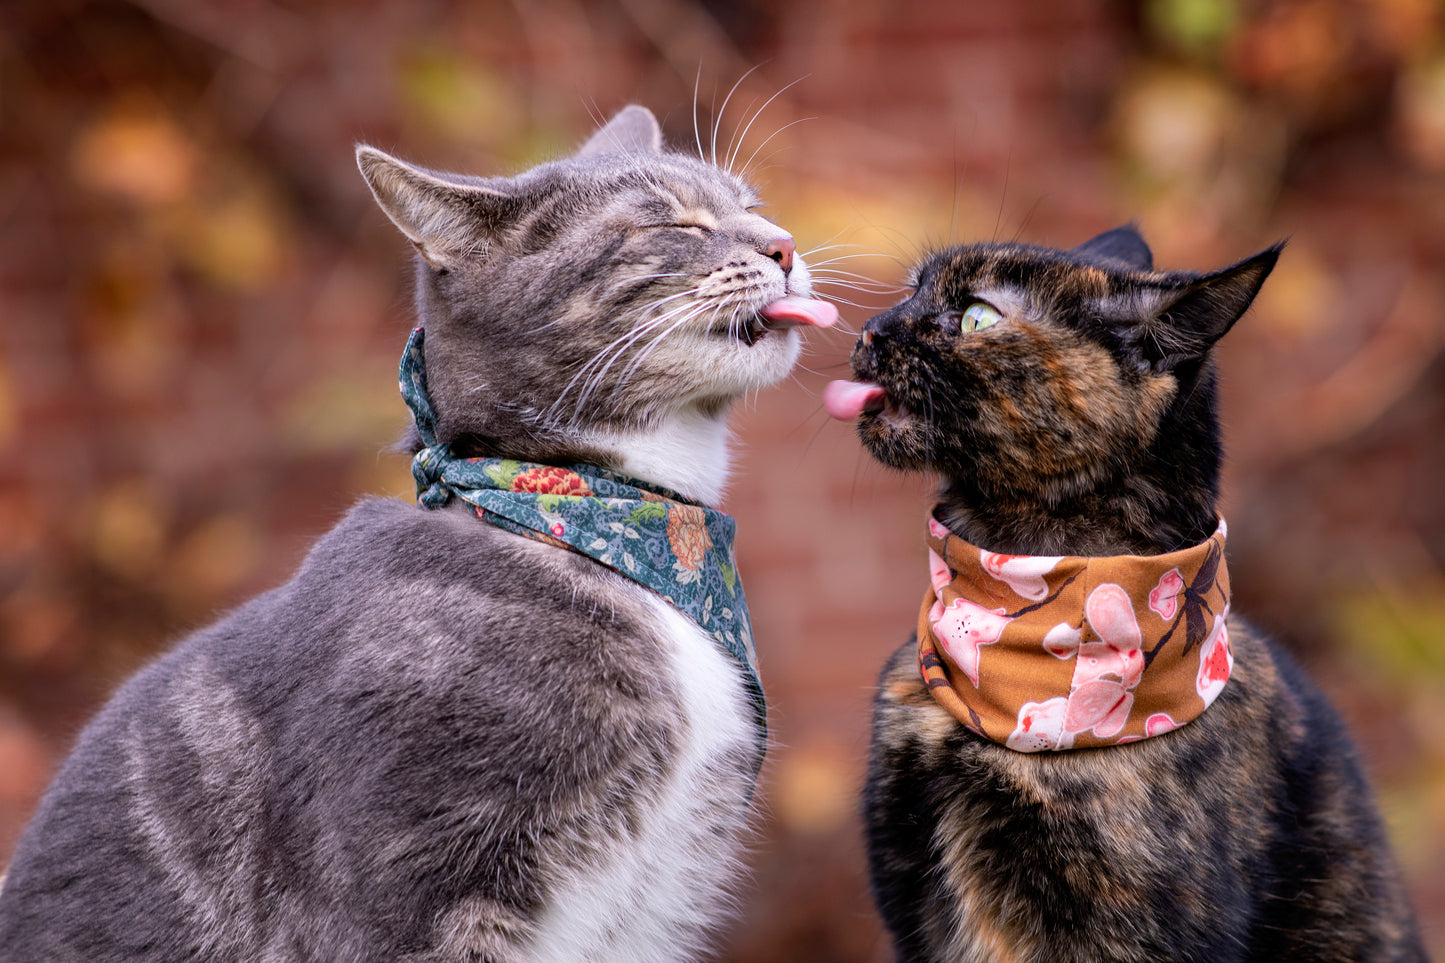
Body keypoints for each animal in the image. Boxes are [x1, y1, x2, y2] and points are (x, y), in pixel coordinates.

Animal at [0, 104, 838, 960]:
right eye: (671, 221)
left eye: (752, 203)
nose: (782, 242)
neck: (595, 519)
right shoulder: (416, 881)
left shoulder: (664, 897)